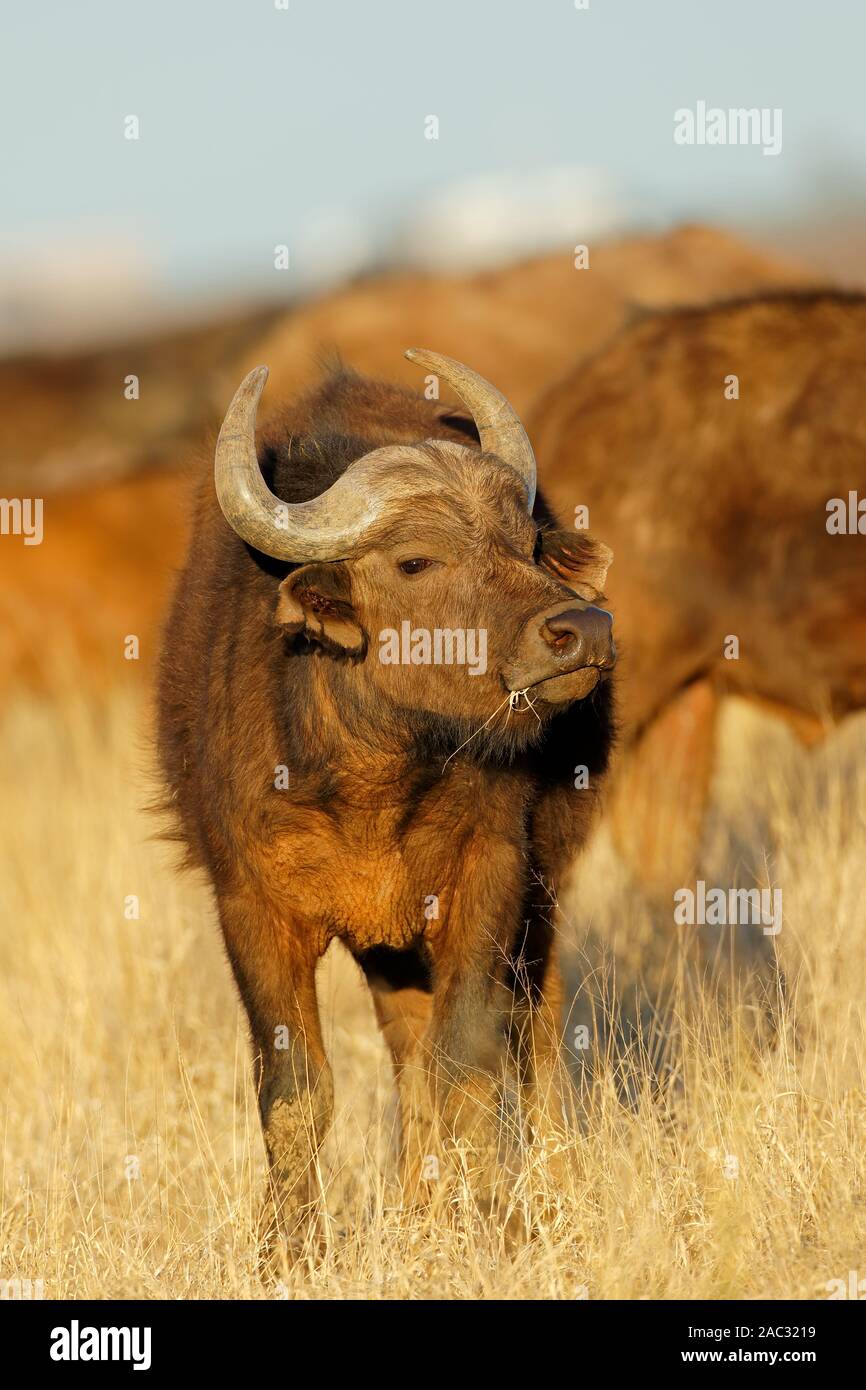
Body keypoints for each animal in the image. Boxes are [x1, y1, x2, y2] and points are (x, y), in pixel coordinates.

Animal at [157, 350, 617, 1262]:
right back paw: (417, 1205)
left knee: (531, 1035)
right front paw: (289, 1248)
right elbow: (296, 1088)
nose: (581, 630)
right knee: (409, 1052)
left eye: (526, 544)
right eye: (415, 562)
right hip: (390, 945)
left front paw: (492, 1222)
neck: (374, 773)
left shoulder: (492, 873)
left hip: (537, 897)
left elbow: (471, 1060)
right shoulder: (252, 906)